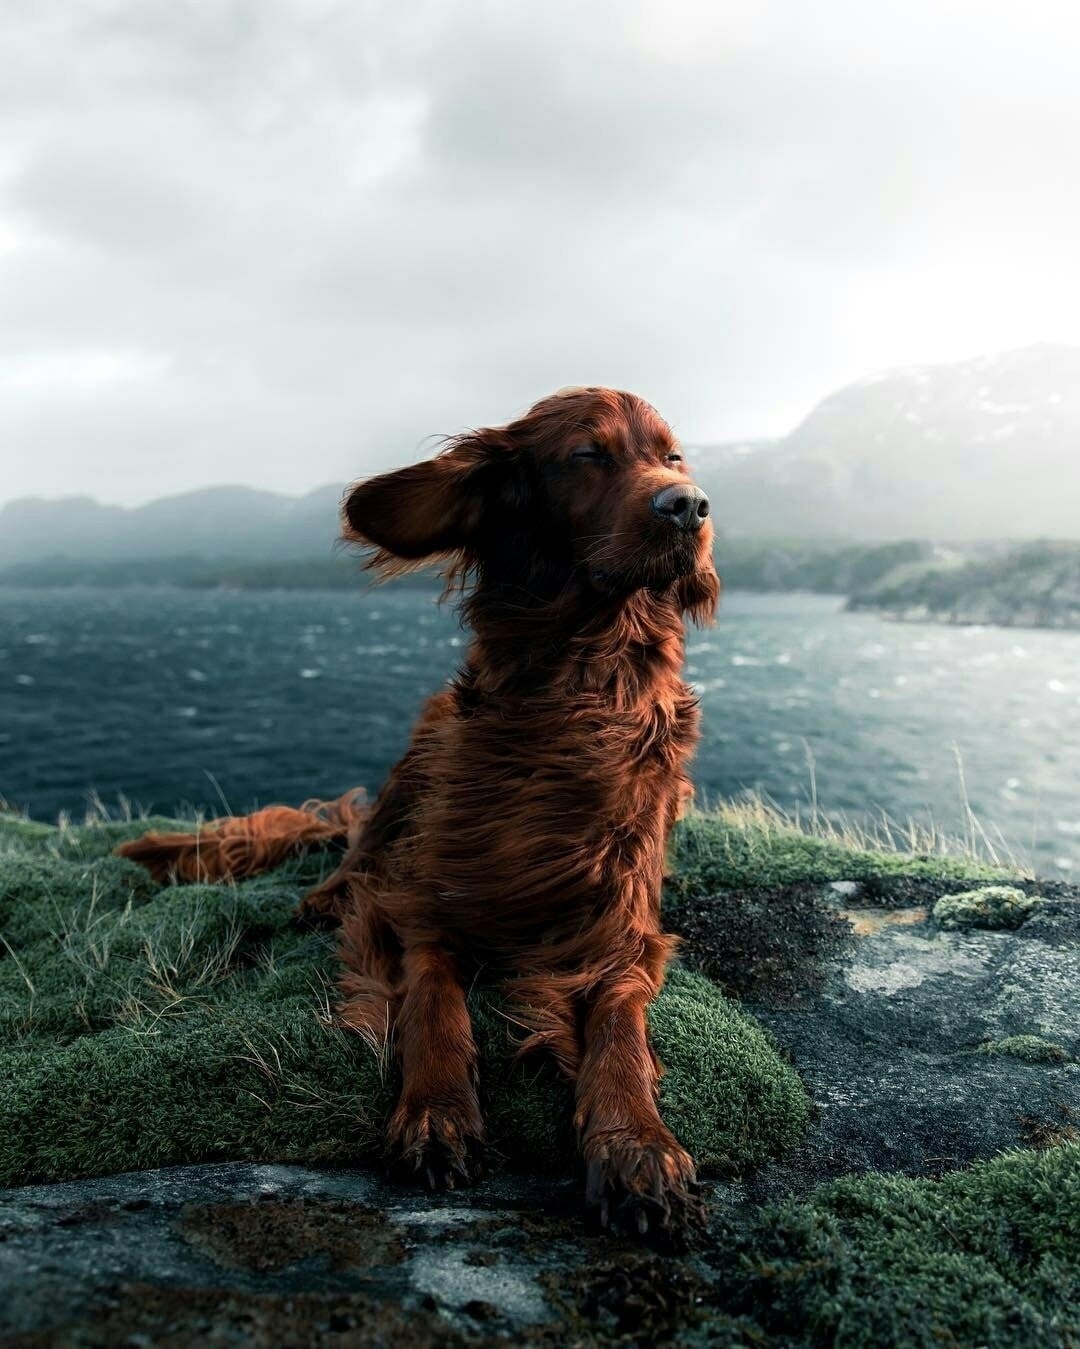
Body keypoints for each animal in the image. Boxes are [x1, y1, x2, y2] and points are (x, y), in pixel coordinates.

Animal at [120, 388, 717, 1235]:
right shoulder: (423, 903)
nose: (689, 505)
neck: (575, 692)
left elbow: (619, 1032)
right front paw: (437, 1112)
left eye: (672, 457)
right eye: (586, 455)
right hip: (420, 752)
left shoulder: (623, 933)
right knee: (362, 845)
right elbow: (433, 1001)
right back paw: (325, 894)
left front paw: (637, 1145)